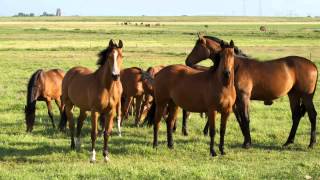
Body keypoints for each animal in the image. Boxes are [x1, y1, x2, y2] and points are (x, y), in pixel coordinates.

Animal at [185, 34, 318, 148]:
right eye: (221, 55)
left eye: (197, 46)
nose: (187, 61)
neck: (236, 68)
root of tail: (312, 65)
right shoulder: (237, 100)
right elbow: (240, 119)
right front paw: (246, 140)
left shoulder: (244, 97)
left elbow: (245, 118)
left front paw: (248, 143)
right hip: (293, 95)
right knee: (296, 116)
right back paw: (288, 141)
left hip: (306, 96)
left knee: (312, 115)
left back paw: (311, 143)